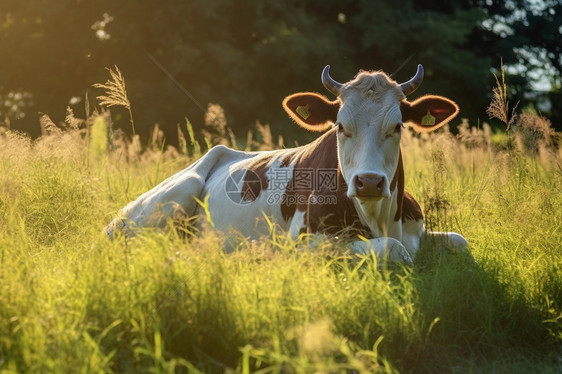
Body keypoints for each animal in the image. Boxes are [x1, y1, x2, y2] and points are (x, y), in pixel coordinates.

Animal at [104, 64, 464, 262]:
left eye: (398, 126)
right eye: (340, 126)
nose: (370, 182)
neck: (381, 218)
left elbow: (460, 242)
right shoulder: (305, 243)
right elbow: (394, 250)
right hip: (179, 191)